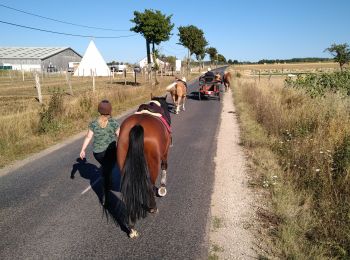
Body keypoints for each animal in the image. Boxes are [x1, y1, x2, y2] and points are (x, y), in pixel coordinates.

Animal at [110, 97, 171, 238]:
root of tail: (137, 126)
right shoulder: (165, 154)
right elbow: (164, 167)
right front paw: (162, 189)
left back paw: (132, 227)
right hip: (153, 164)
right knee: (149, 184)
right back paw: (153, 208)